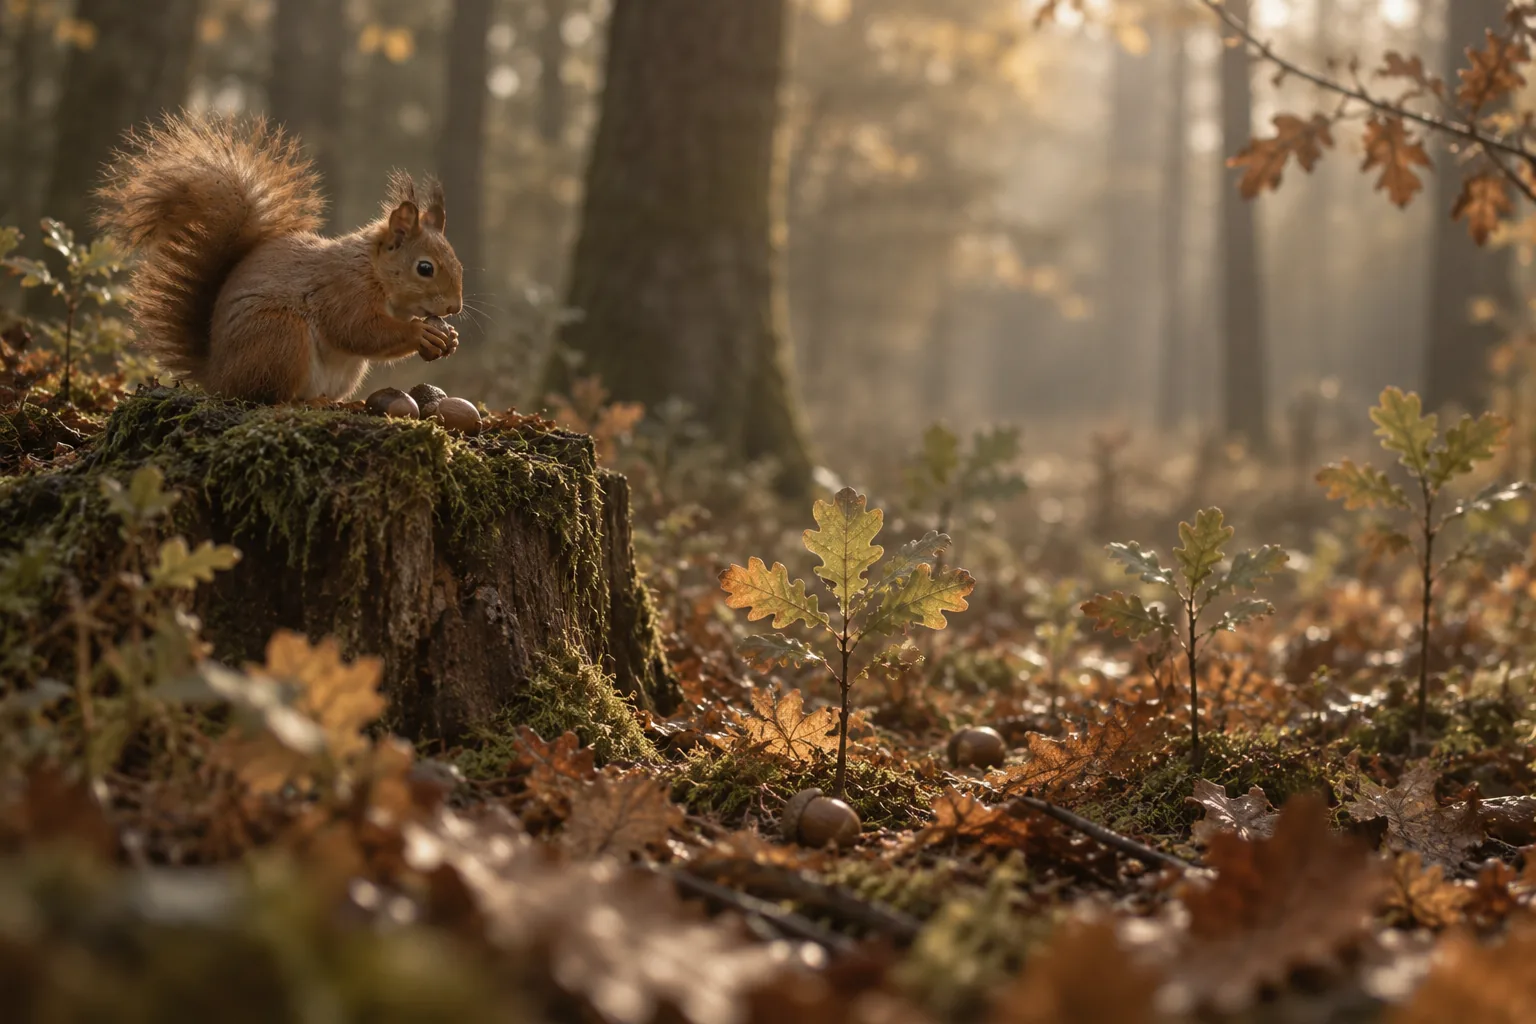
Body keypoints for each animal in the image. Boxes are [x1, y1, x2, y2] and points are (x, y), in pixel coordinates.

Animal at [95, 113, 463, 403]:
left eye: (458, 265)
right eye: (425, 268)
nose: (454, 308)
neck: (373, 270)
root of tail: (217, 376)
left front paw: (449, 339)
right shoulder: (343, 290)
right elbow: (358, 330)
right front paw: (419, 334)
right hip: (280, 335)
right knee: (269, 396)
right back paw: (307, 403)